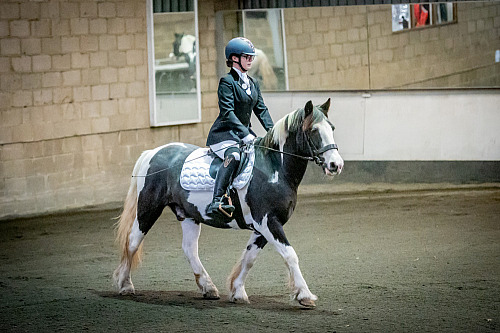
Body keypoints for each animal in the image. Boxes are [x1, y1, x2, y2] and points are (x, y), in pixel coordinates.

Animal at [114, 99, 344, 308]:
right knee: (133, 241)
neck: (274, 169)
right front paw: (305, 295)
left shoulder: (262, 227)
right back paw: (125, 285)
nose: (336, 165)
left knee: (189, 248)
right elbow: (290, 255)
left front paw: (238, 292)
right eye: (314, 130)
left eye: (332, 128)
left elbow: (250, 258)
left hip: (188, 215)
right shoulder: (268, 222)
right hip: (148, 209)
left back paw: (208, 288)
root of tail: (153, 153)